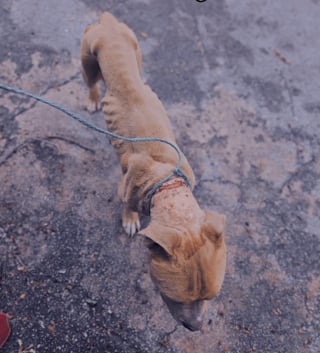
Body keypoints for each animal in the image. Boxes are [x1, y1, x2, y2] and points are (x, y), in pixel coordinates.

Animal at [81, 11, 226, 330]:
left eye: (210, 297)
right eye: (174, 298)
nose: (196, 327)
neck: (166, 183)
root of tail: (107, 21)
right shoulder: (127, 187)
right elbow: (127, 204)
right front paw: (130, 219)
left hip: (135, 50)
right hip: (87, 60)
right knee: (91, 81)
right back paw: (93, 98)